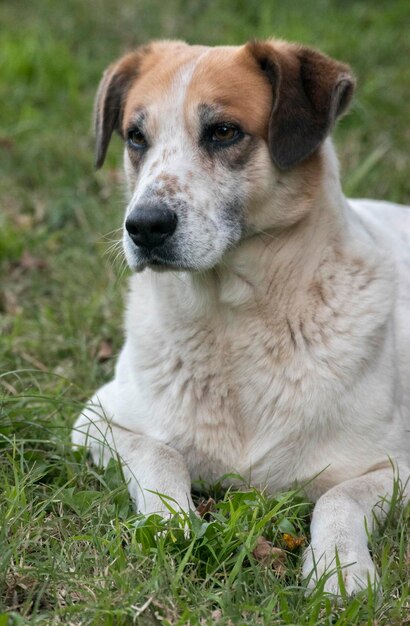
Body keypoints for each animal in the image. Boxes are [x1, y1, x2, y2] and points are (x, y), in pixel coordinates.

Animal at [71, 36, 410, 592]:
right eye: (136, 137)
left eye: (223, 131)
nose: (143, 226)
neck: (233, 321)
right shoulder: (96, 422)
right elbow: (160, 452)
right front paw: (170, 521)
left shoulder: (395, 466)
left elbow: (338, 498)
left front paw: (341, 570)